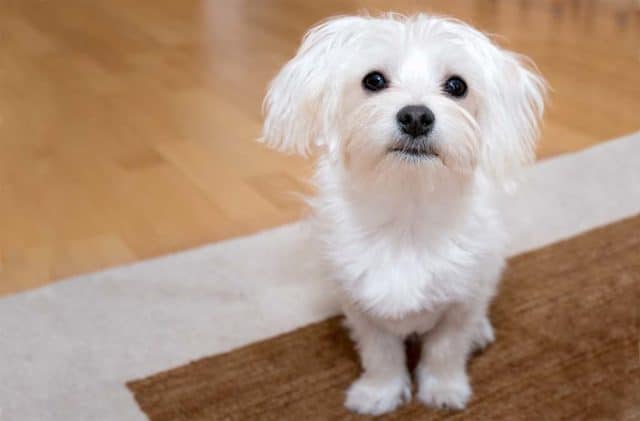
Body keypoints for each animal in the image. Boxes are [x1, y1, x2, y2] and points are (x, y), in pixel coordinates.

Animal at [260, 13, 544, 414]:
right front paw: (378, 393)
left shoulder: (462, 302)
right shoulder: (361, 305)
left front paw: (444, 389)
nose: (416, 116)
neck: (408, 209)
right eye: (374, 80)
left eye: (457, 85)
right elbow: (380, 354)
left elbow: (445, 349)